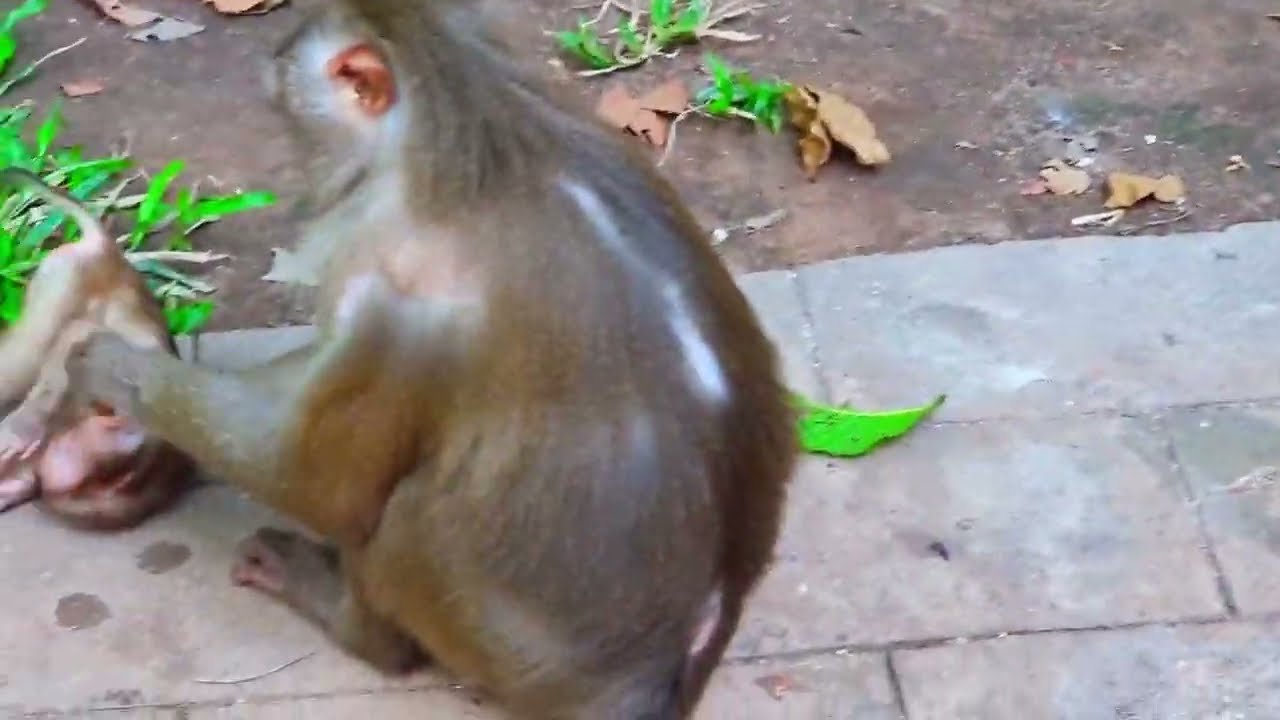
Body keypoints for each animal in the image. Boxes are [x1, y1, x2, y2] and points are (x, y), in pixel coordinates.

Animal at [61, 0, 797, 717]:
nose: (268, 62)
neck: (469, 137)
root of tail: (661, 669)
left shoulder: (399, 299)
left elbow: (317, 484)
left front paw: (112, 368)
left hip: (502, 641)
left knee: (405, 514)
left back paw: (349, 621)